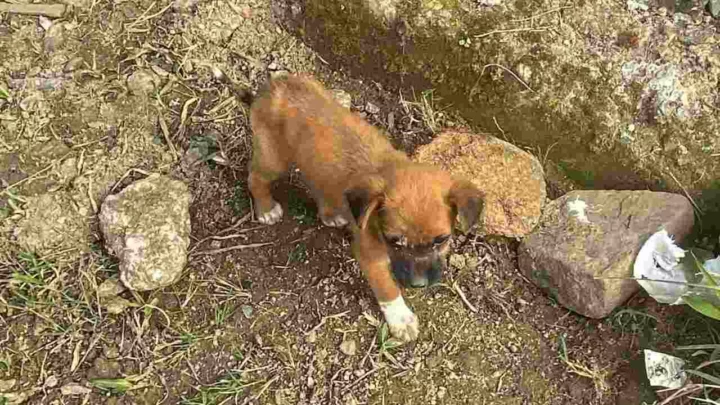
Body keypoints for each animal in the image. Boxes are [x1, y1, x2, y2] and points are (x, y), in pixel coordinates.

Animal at [248, 73, 484, 340]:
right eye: (393, 241)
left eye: (441, 240)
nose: (418, 285)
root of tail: (273, 86)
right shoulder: (370, 253)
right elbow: (386, 286)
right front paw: (400, 319)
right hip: (273, 159)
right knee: (255, 178)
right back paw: (266, 209)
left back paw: (330, 212)